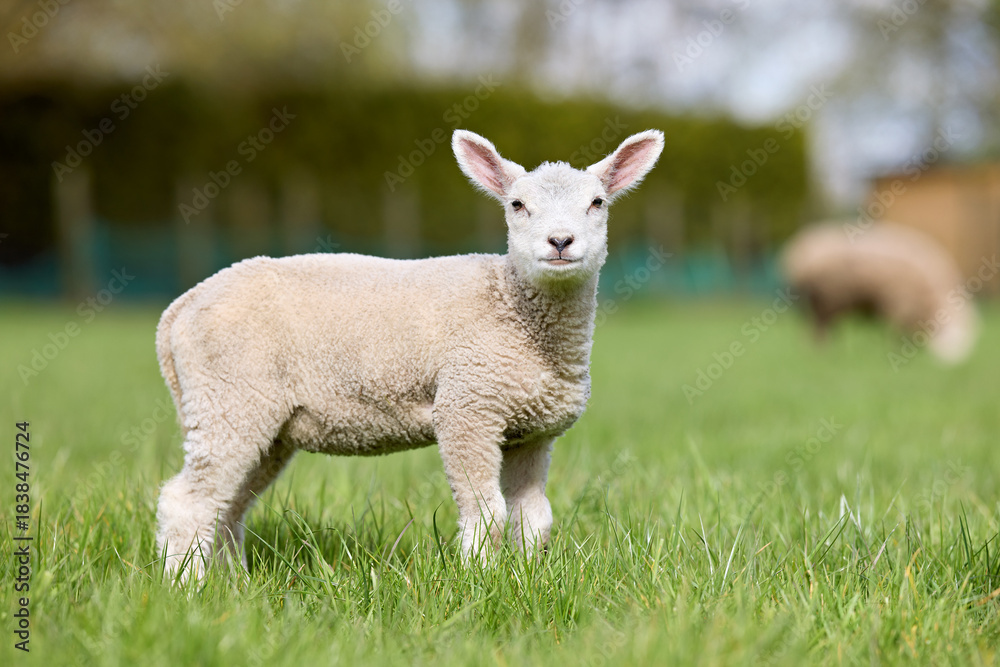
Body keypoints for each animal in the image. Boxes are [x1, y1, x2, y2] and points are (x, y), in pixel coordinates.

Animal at [155, 128, 664, 578]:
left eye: (597, 203)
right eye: (517, 205)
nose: (560, 241)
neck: (511, 305)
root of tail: (179, 309)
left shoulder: (532, 432)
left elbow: (533, 519)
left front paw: (527, 579)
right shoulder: (467, 409)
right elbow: (487, 512)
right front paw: (479, 580)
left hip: (263, 425)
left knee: (228, 504)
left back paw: (231, 584)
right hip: (229, 400)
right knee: (188, 501)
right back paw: (185, 587)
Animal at [780, 221, 979, 363]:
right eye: (949, 338)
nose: (950, 365)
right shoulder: (901, 303)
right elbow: (897, 334)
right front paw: (898, 351)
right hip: (828, 298)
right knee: (821, 328)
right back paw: (822, 352)